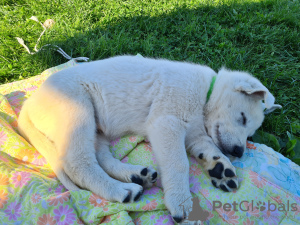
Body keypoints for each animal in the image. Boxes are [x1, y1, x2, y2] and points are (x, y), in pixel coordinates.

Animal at [18, 56, 282, 223]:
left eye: (250, 134)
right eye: (242, 117)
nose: (238, 152)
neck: (205, 95)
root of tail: (28, 105)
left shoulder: (195, 133)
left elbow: (207, 147)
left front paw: (220, 168)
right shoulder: (167, 123)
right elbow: (179, 163)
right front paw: (182, 203)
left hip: (95, 128)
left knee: (101, 158)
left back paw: (136, 176)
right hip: (77, 113)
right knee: (78, 164)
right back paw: (121, 190)